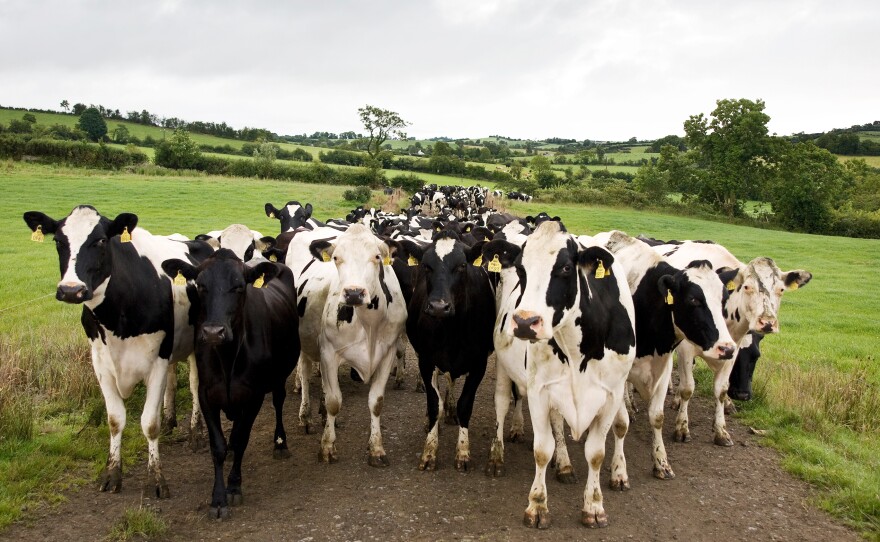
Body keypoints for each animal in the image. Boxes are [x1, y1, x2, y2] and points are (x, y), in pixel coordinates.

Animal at [163, 251, 300, 524]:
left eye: (239, 286)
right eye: (201, 286)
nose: (213, 332)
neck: (228, 358)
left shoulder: (253, 395)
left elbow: (240, 439)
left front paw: (234, 486)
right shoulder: (206, 395)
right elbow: (218, 446)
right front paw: (218, 499)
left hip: (279, 376)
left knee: (278, 402)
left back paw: (280, 443)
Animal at [306, 224, 410, 468]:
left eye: (377, 256)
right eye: (336, 257)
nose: (354, 292)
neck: (368, 323)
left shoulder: (387, 353)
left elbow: (376, 402)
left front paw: (376, 449)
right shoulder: (328, 353)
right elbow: (334, 401)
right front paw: (327, 447)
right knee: (304, 374)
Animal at [398, 232, 496, 474]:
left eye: (462, 266)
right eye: (426, 266)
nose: (438, 307)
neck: (452, 332)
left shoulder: (479, 364)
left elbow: (465, 405)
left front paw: (463, 452)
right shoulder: (426, 361)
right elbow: (434, 404)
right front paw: (429, 452)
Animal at [482, 222, 632, 532]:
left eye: (564, 268)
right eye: (521, 269)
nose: (525, 322)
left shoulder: (611, 394)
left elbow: (596, 452)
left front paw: (594, 506)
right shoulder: (539, 390)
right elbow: (542, 449)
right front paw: (537, 506)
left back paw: (564, 464)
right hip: (504, 364)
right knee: (501, 403)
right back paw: (496, 456)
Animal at [652, 241, 812, 446]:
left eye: (781, 290)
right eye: (747, 287)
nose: (767, 322)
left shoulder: (731, 349)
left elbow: (721, 389)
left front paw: (721, 430)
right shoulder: (686, 349)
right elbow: (688, 388)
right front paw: (682, 428)